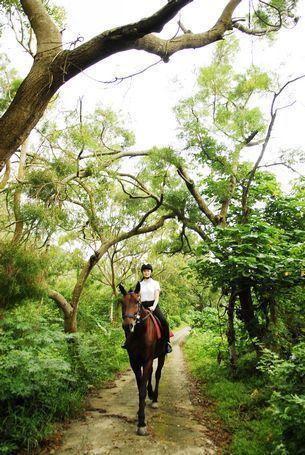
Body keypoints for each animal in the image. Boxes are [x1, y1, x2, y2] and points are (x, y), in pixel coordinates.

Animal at [119, 284, 166, 436]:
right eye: (122, 303)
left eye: (137, 302)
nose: (128, 325)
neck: (140, 333)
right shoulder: (134, 362)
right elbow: (141, 386)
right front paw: (141, 411)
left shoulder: (147, 360)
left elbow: (142, 390)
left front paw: (142, 423)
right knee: (150, 375)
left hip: (161, 356)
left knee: (157, 374)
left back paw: (155, 398)